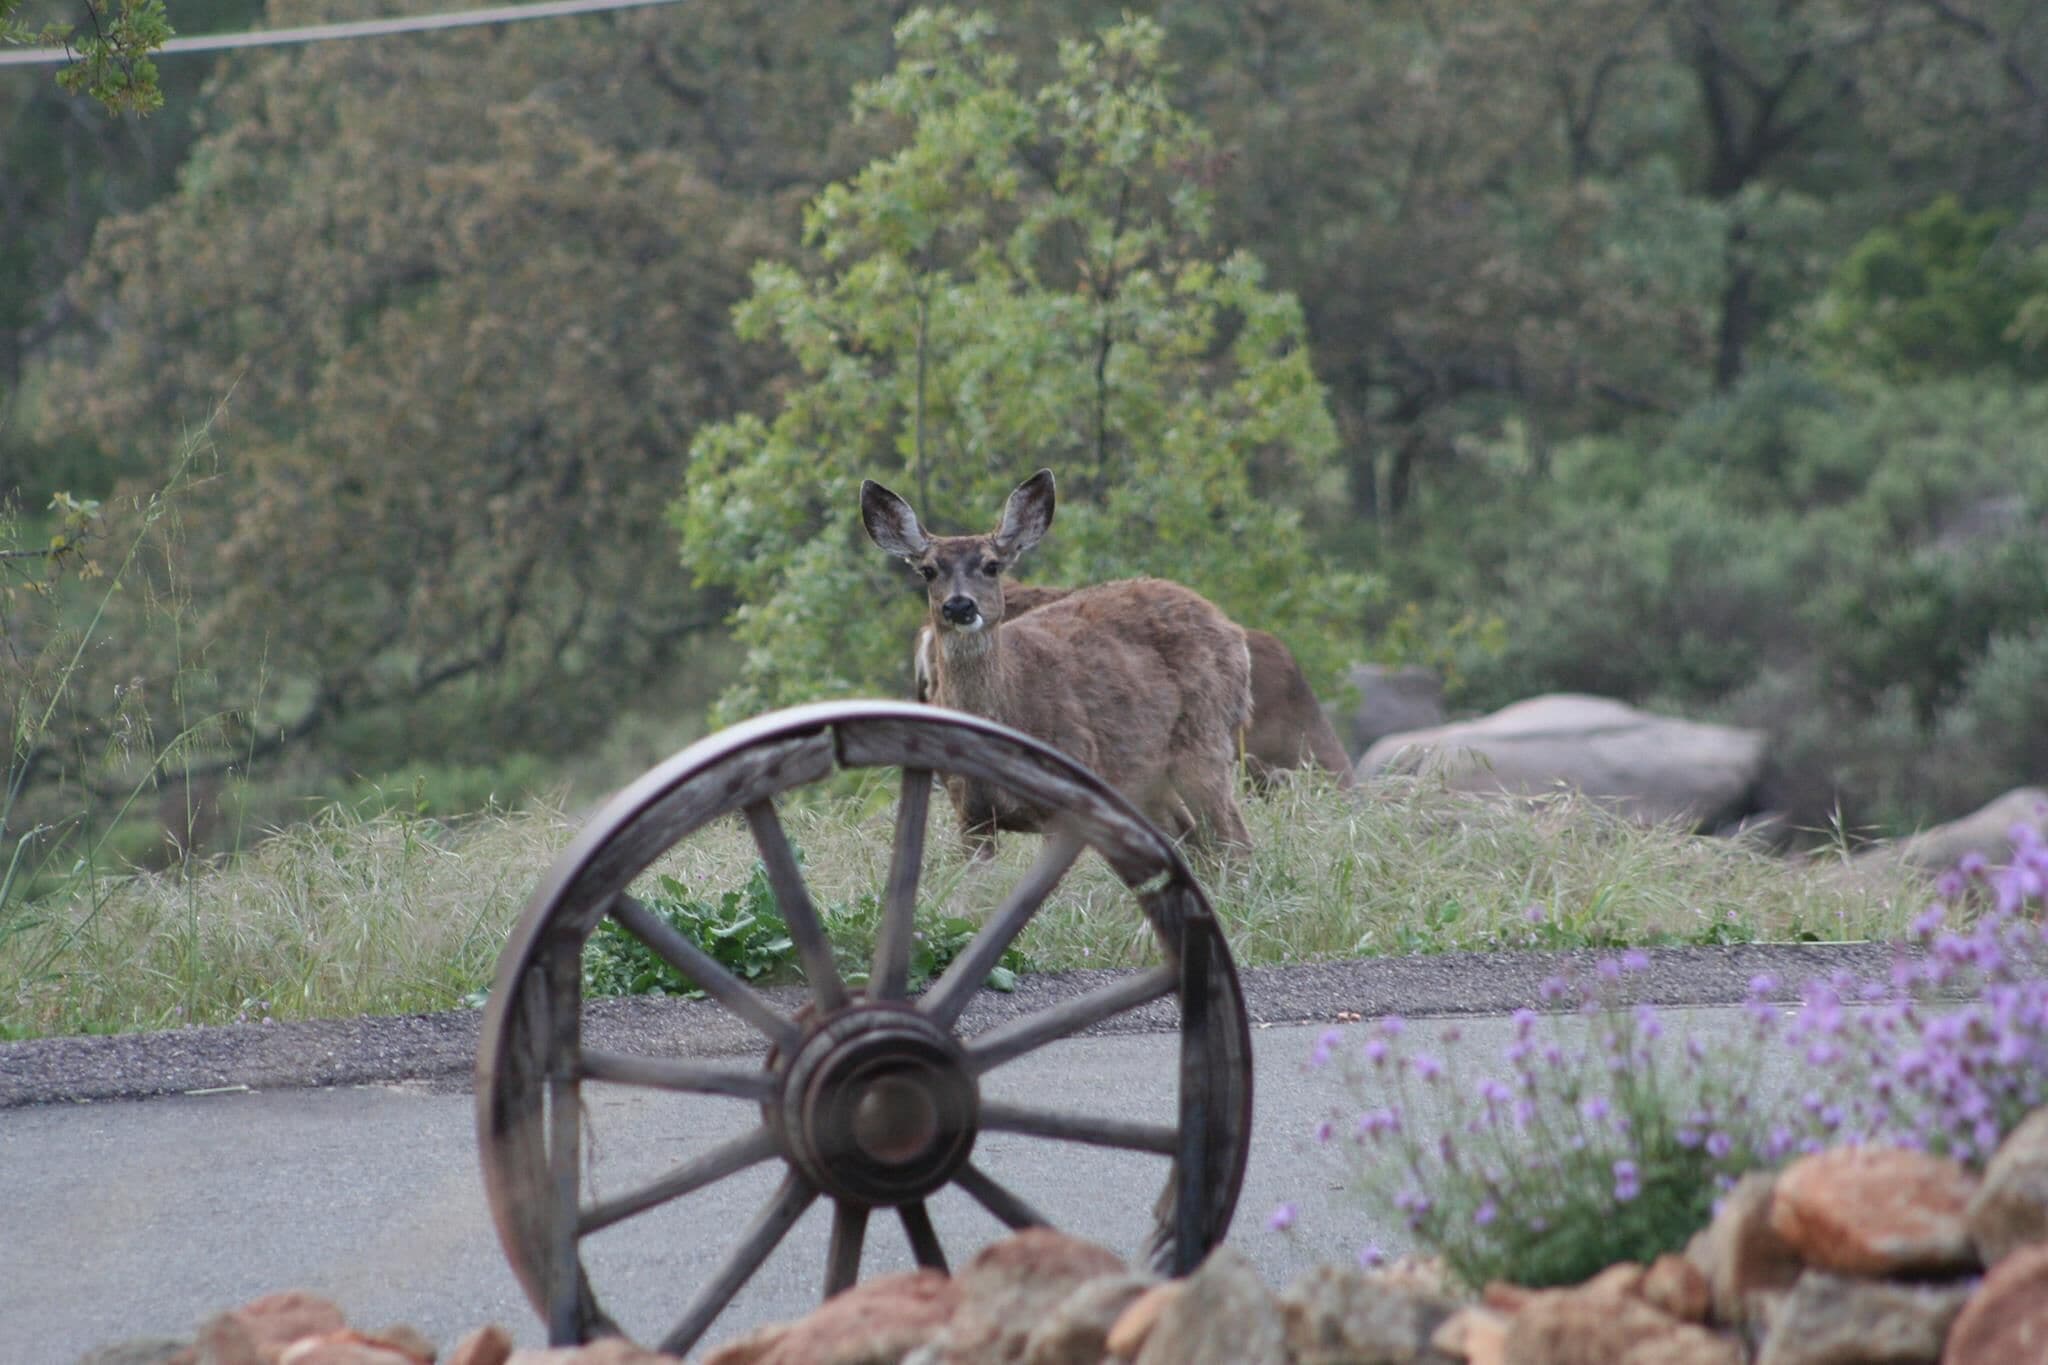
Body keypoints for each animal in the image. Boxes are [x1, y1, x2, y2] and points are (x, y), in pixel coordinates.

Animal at [861, 469, 1254, 854]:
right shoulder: (969, 814)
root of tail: (1232, 629)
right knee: (1191, 837)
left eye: (992, 566)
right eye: (928, 570)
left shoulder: (1063, 796)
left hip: (1204, 734)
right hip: (1146, 776)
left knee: (1233, 838)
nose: (959, 606)